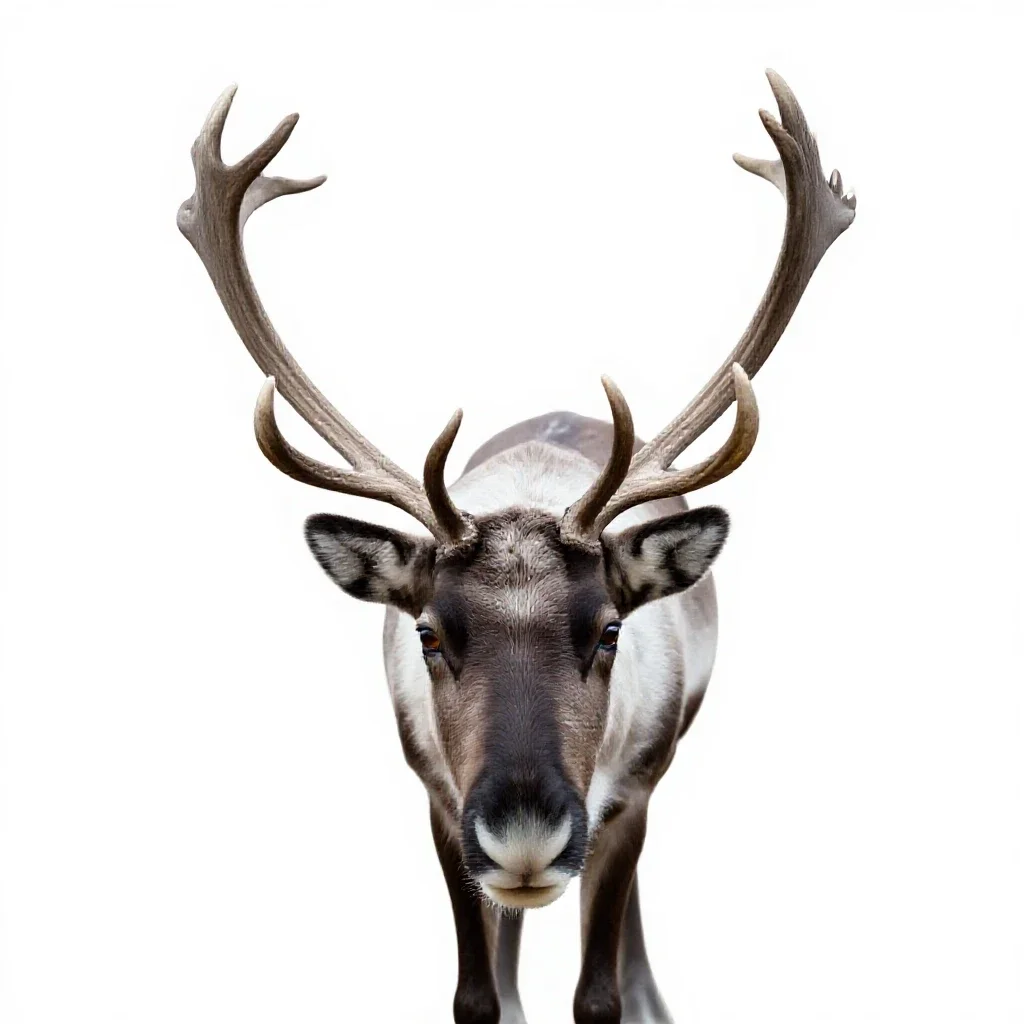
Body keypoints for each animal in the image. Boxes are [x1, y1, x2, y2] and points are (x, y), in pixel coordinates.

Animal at [178, 69, 855, 1024]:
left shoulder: (629, 795)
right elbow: (476, 993)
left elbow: (597, 991)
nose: (527, 834)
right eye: (427, 632)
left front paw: (625, 996)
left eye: (609, 630)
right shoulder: (439, 802)